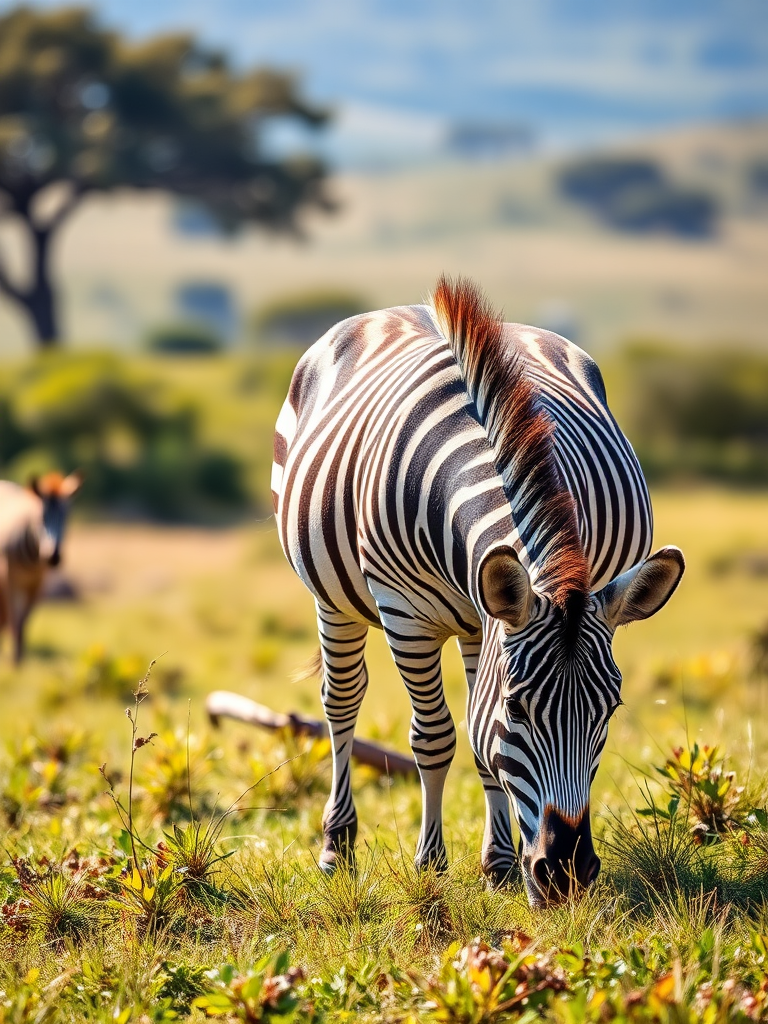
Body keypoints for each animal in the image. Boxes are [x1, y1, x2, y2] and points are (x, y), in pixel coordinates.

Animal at [0, 472, 82, 663]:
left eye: (66, 518)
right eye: (41, 518)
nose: (53, 556)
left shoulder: (37, 582)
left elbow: (24, 620)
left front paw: (19, 658)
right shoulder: (8, 577)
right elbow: (14, 618)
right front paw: (14, 660)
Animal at [272, 277, 684, 907]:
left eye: (609, 710)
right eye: (517, 706)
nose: (566, 873)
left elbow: (480, 738)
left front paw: (499, 867)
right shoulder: (405, 615)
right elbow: (434, 736)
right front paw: (430, 865)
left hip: (477, 620)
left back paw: (498, 862)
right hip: (335, 601)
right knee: (341, 702)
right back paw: (337, 848)